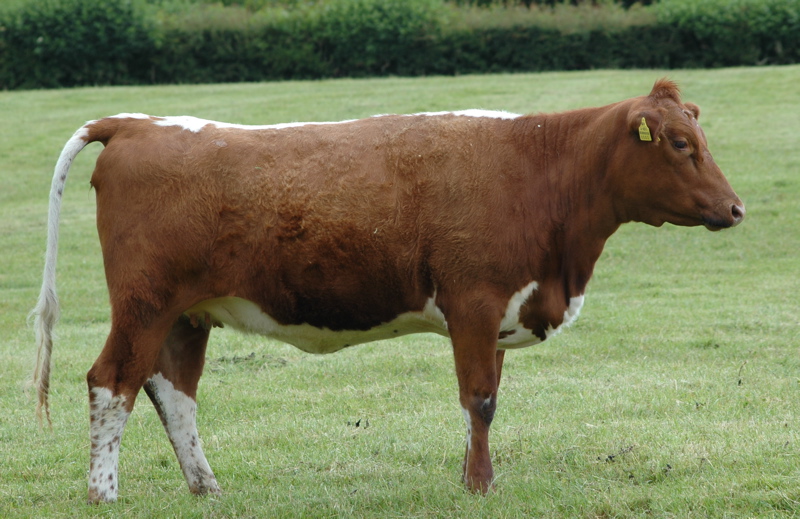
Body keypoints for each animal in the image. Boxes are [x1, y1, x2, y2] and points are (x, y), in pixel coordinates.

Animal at [32, 79, 744, 503]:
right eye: (679, 143)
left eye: (700, 138)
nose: (735, 209)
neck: (539, 170)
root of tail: (138, 122)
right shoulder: (474, 303)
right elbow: (480, 400)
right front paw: (480, 488)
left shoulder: (501, 310)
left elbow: (488, 399)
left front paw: (470, 476)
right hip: (144, 304)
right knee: (111, 382)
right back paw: (103, 493)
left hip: (186, 314)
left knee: (172, 392)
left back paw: (207, 488)